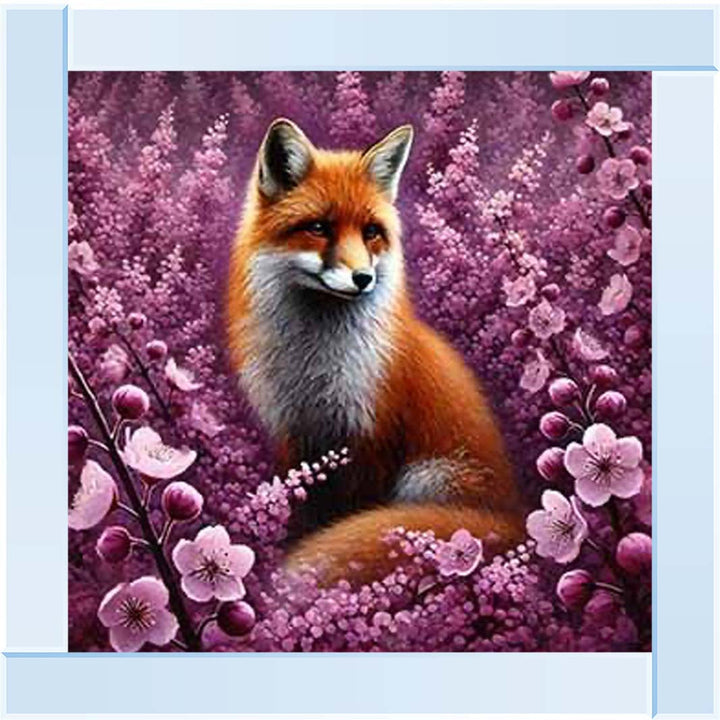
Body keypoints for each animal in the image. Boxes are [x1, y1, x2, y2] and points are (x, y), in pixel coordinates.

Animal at [227, 118, 524, 585]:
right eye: (319, 228)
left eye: (370, 232)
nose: (362, 278)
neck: (315, 364)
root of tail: (517, 518)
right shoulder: (295, 435)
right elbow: (300, 509)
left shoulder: (373, 437)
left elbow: (353, 514)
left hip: (426, 478)